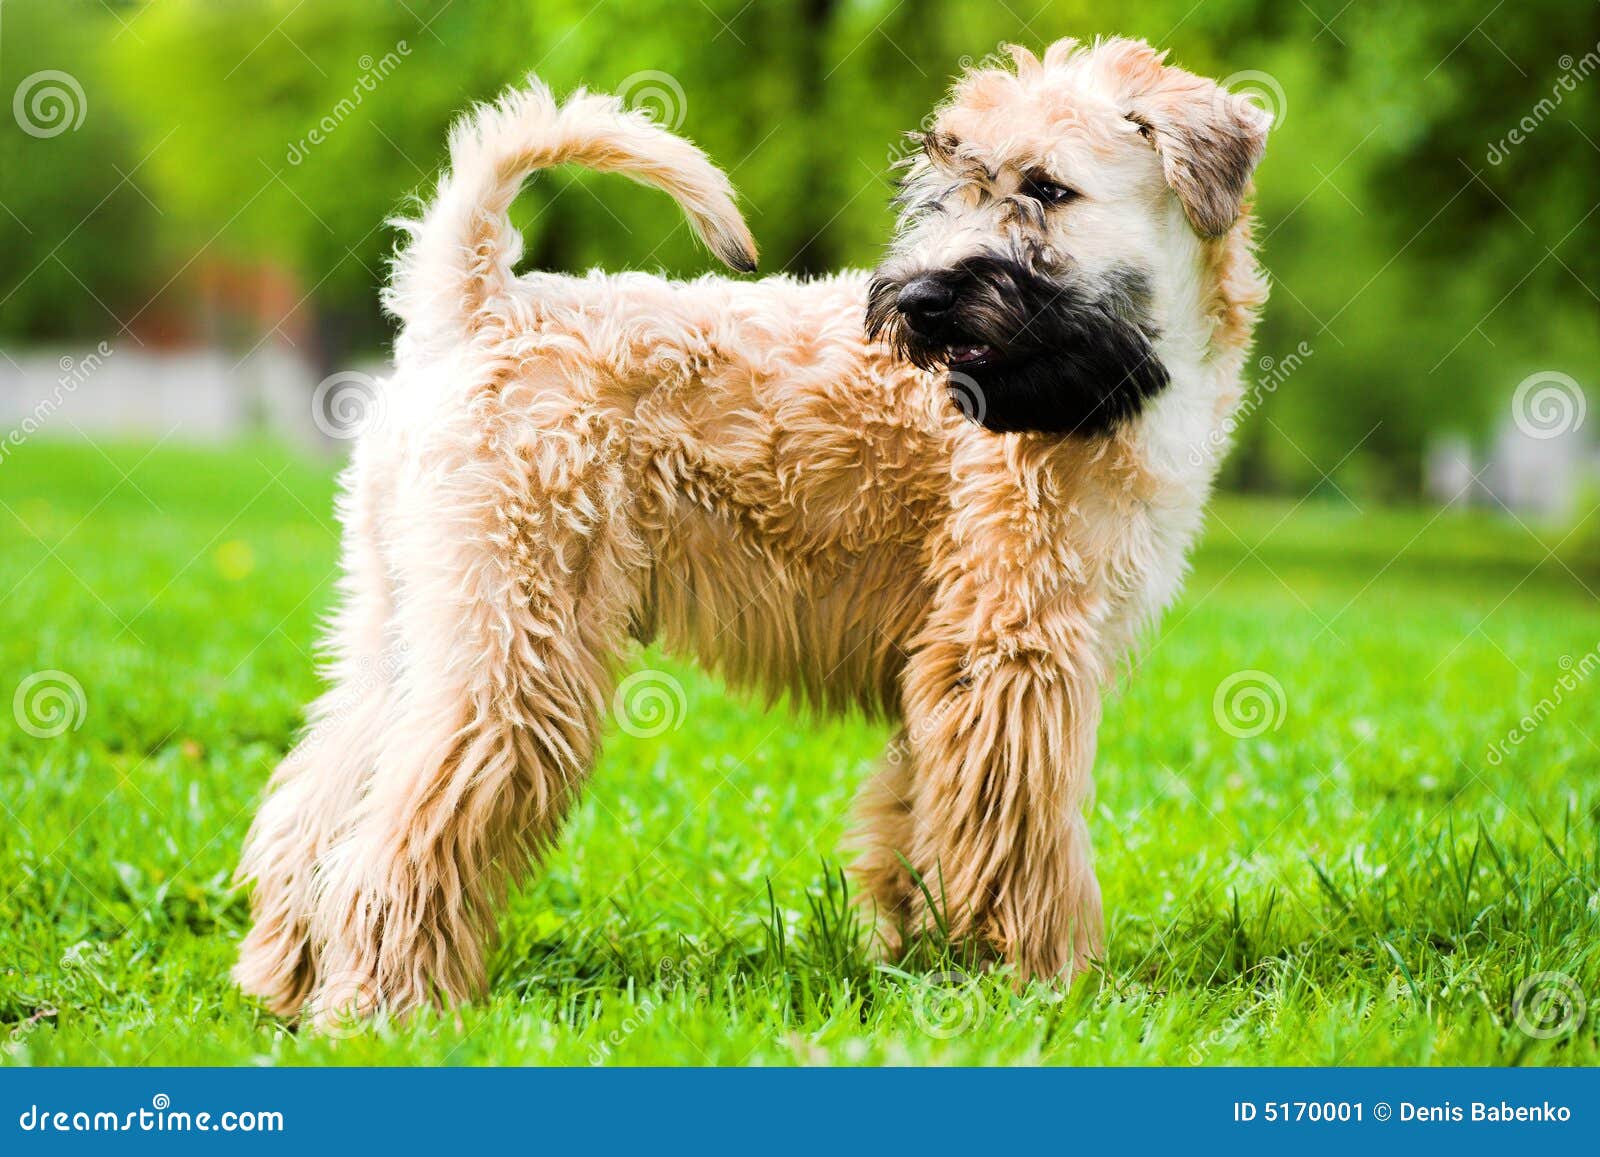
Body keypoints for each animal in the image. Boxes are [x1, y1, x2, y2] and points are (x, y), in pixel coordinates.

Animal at [236, 34, 1267, 1024]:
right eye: (946, 183)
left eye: (1049, 188)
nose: (919, 301)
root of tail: (479, 304)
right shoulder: (1012, 654)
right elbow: (1027, 838)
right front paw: (1050, 979)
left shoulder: (944, 668)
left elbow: (923, 825)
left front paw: (926, 960)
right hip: (520, 651)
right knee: (399, 834)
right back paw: (385, 1003)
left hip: (409, 625)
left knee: (319, 805)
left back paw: (284, 983)